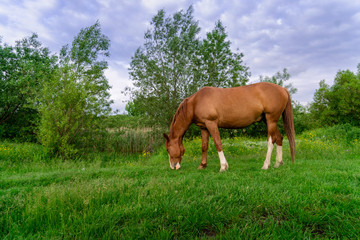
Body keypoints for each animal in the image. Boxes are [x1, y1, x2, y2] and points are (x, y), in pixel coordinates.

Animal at [163, 82, 296, 171]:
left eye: (168, 149)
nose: (173, 166)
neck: (195, 102)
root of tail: (282, 89)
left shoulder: (211, 123)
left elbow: (218, 143)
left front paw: (223, 166)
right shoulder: (204, 127)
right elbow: (204, 146)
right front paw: (202, 165)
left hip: (271, 120)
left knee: (271, 141)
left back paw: (265, 165)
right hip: (268, 121)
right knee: (279, 138)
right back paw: (277, 163)